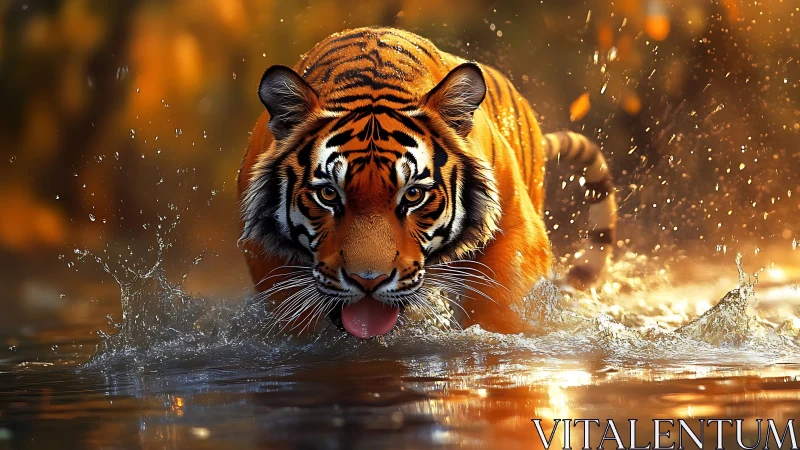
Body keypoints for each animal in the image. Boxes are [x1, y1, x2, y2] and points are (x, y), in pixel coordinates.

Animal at [237, 27, 617, 338]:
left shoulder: (517, 227)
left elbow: (497, 300)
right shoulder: (263, 249)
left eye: (414, 195)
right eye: (329, 194)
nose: (368, 281)